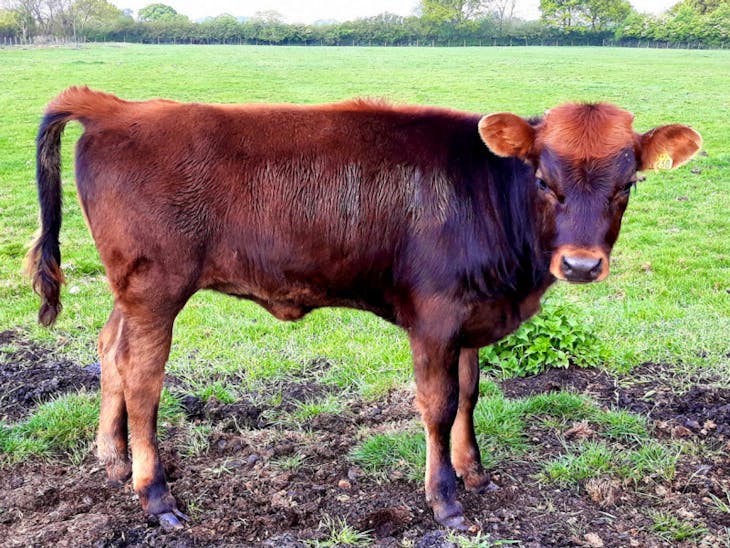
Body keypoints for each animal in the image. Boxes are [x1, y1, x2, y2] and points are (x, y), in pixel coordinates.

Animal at [26, 87, 701, 530]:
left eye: (628, 184)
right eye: (542, 178)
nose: (582, 265)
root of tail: (119, 106)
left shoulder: (471, 317)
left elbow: (471, 394)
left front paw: (475, 470)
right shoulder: (434, 315)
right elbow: (439, 404)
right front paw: (446, 500)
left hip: (129, 293)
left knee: (110, 352)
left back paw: (113, 460)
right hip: (156, 290)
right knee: (144, 381)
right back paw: (156, 495)